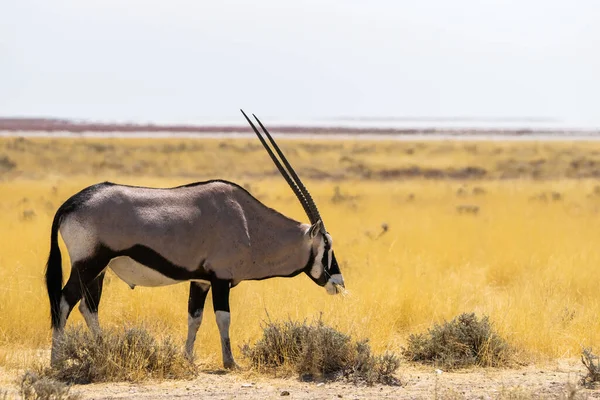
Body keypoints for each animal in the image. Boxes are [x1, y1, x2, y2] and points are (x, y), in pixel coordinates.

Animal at [44, 109, 344, 368]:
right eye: (327, 245)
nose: (339, 284)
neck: (248, 221)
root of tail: (70, 204)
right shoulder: (221, 279)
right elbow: (223, 319)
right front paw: (230, 362)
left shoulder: (201, 280)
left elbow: (194, 318)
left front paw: (187, 358)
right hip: (88, 264)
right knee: (64, 301)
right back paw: (57, 360)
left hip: (100, 269)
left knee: (89, 306)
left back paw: (103, 351)